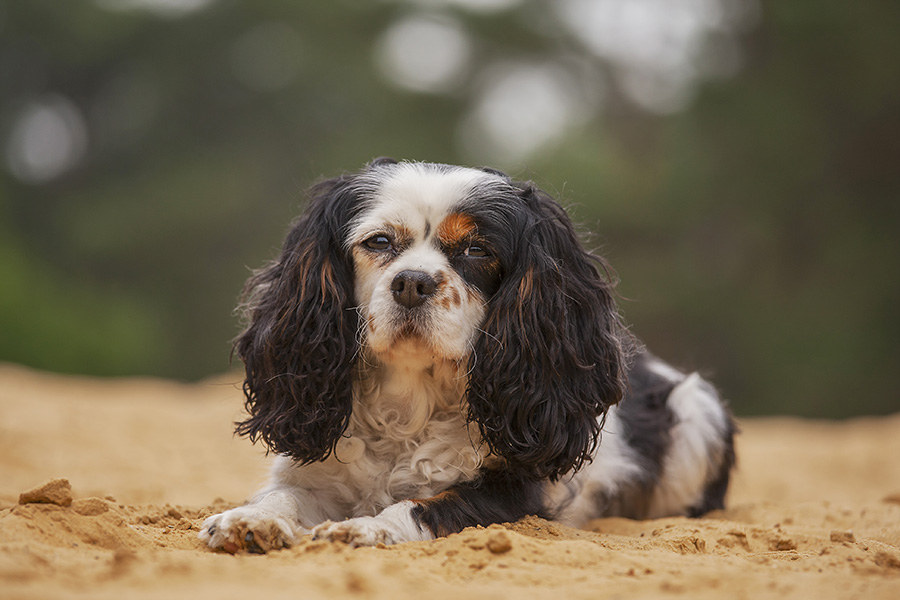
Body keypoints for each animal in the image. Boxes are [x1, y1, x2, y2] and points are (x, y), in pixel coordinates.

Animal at [200, 158, 736, 552]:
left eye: (477, 250)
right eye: (379, 242)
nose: (411, 282)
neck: (410, 401)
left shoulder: (515, 492)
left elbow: (428, 504)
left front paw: (368, 528)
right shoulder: (314, 472)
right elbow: (284, 495)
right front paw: (249, 520)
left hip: (698, 413)